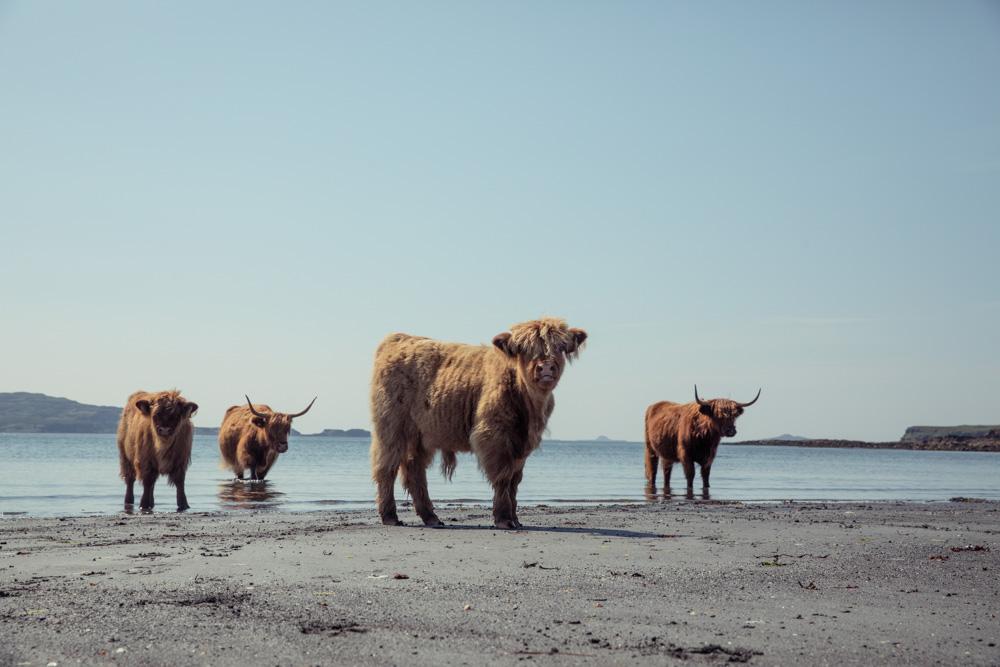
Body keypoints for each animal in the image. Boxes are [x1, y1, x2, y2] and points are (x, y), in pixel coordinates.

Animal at [370, 317, 587, 529]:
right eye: (524, 348)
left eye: (560, 347)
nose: (546, 368)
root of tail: (399, 338)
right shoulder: (495, 436)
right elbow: (503, 477)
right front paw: (504, 519)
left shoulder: (522, 445)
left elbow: (515, 480)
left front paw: (516, 519)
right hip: (391, 427)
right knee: (387, 468)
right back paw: (390, 516)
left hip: (419, 436)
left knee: (414, 471)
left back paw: (431, 517)